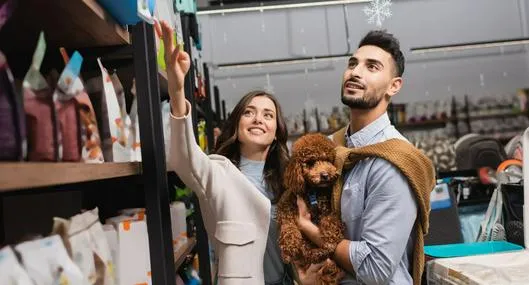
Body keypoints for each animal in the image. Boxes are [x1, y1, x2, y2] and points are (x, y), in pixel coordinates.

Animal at [276, 134, 346, 284]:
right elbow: (287, 225)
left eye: (328, 160)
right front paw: (289, 245)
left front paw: (330, 240)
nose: (325, 175)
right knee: (307, 253)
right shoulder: (285, 205)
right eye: (311, 162)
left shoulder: (327, 209)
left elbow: (331, 220)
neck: (313, 192)